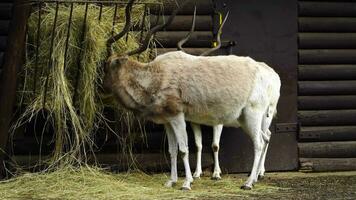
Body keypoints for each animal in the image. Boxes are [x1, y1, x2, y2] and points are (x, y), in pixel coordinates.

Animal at [103, 0, 280, 191]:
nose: (103, 89)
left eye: (107, 66)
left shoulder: (178, 116)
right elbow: (173, 150)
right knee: (265, 138)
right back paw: (255, 178)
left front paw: (187, 183)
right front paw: (171, 181)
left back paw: (248, 182)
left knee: (259, 143)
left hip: (253, 114)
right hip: (246, 118)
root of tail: (267, 73)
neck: (157, 75)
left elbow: (184, 149)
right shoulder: (168, 121)